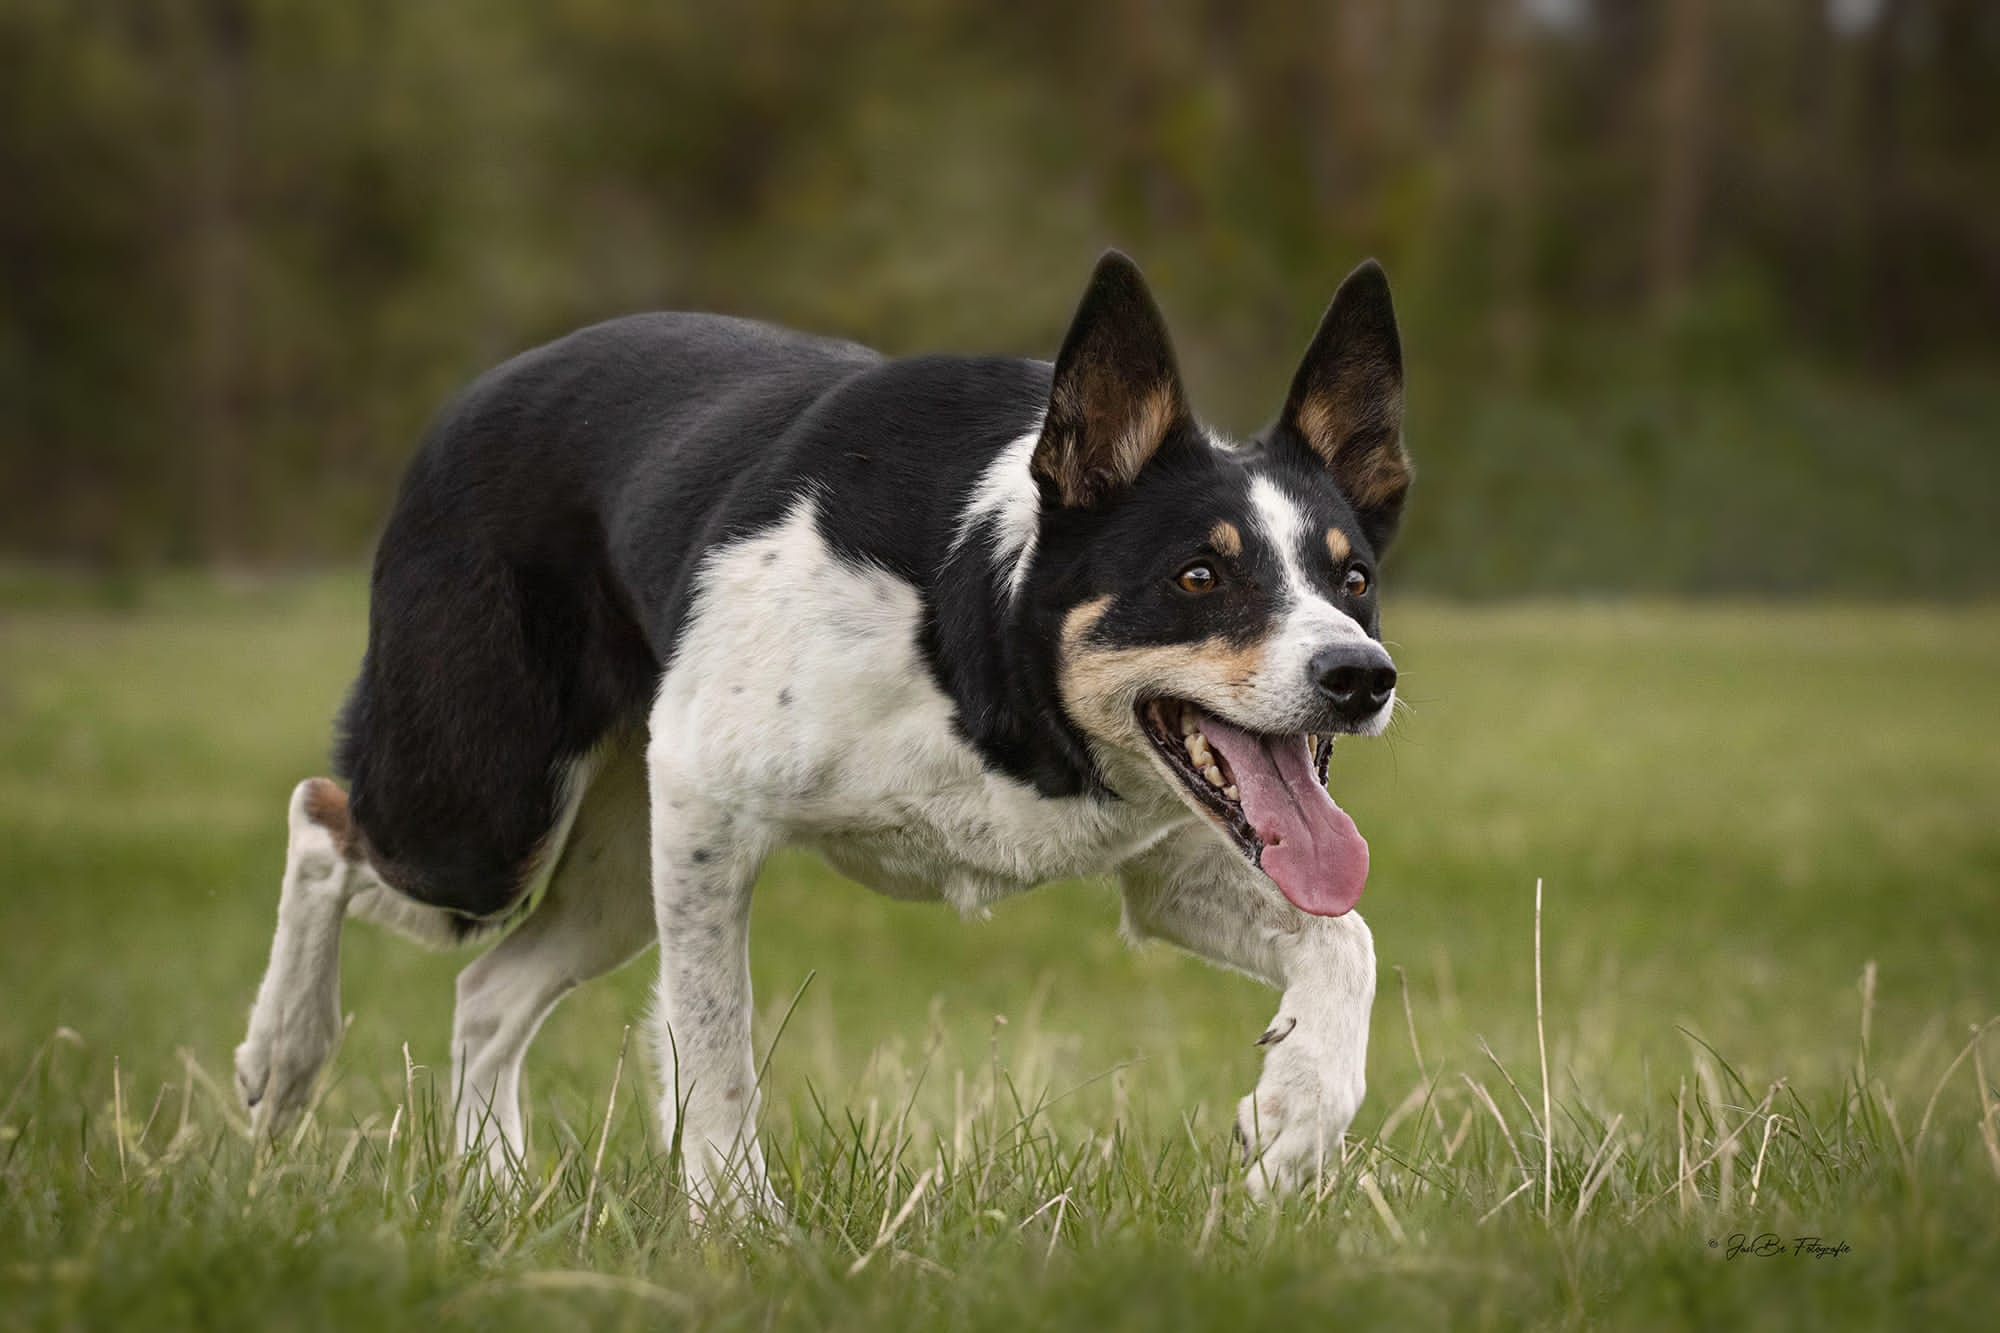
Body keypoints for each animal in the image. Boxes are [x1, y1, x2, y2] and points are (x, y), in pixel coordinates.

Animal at [234, 249, 1416, 1200]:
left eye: (1351, 578)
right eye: (1198, 575)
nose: (1360, 677)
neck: (972, 630)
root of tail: (467, 403)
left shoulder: (1166, 871)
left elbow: (1348, 939)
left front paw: (1293, 1119)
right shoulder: (709, 810)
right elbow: (715, 1047)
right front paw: (736, 1225)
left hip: (614, 872)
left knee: (487, 990)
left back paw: (493, 1186)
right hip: (482, 823)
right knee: (323, 819)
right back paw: (284, 1059)